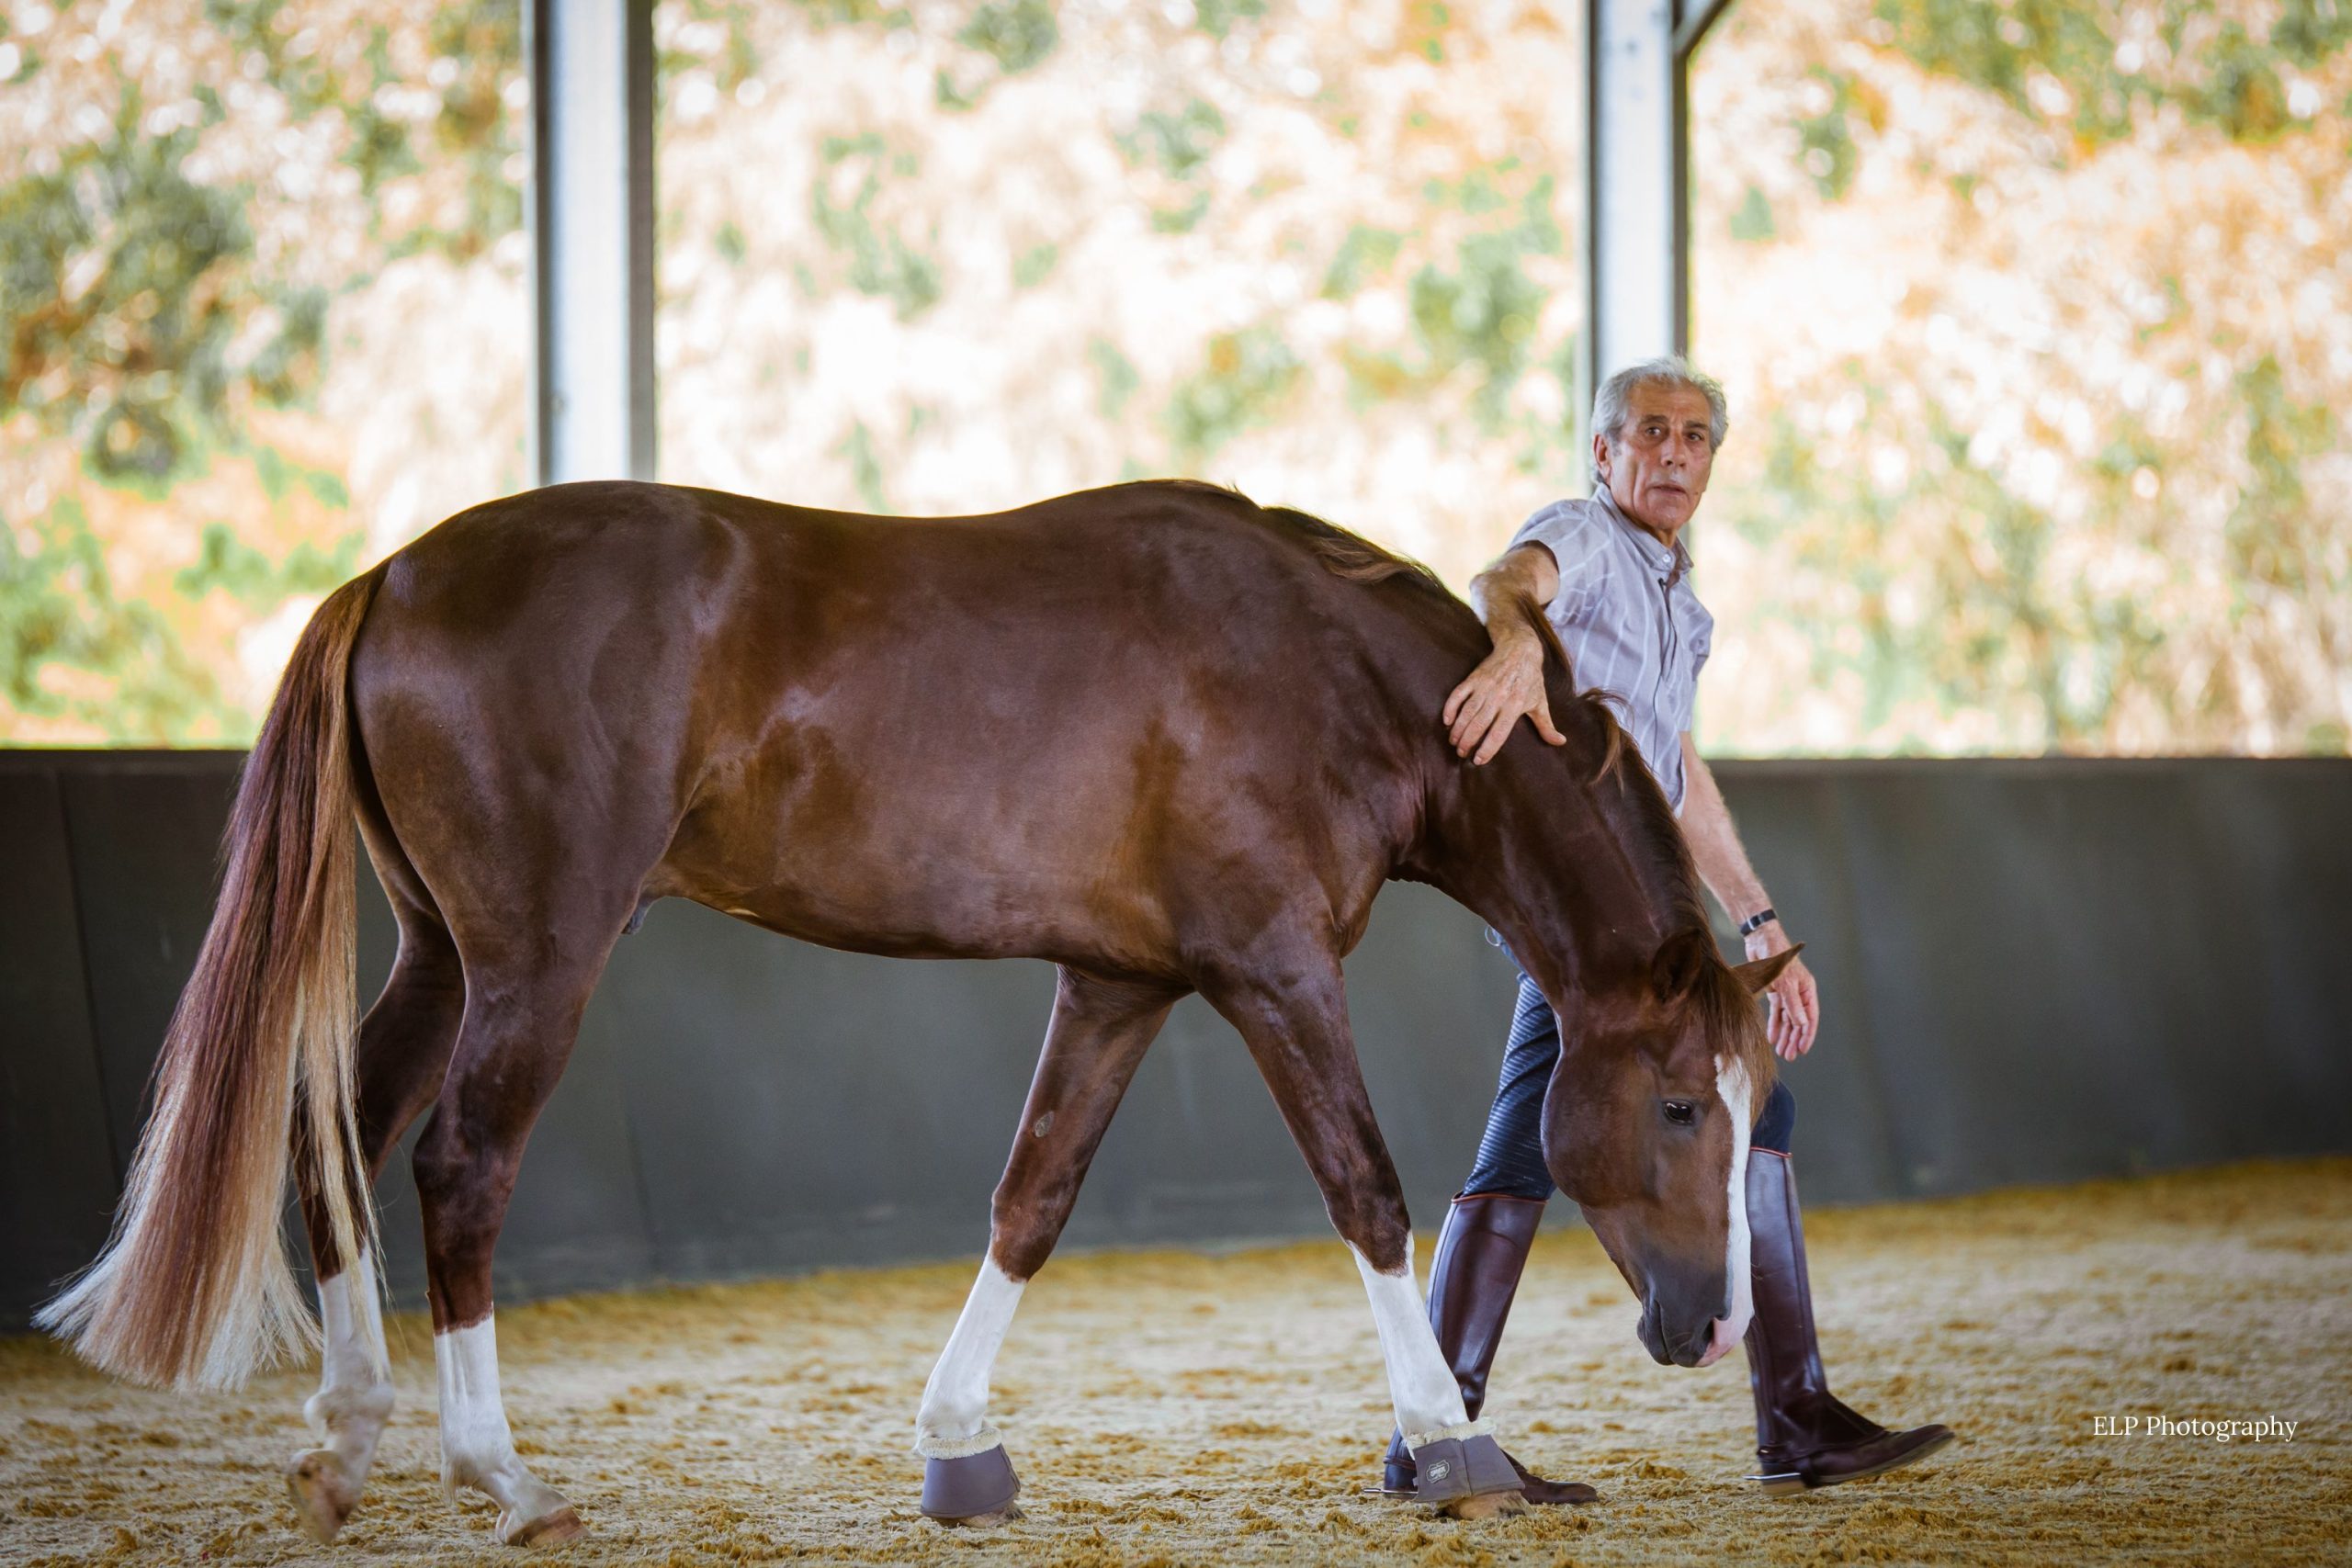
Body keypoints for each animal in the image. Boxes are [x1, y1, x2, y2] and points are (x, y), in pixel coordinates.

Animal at [39, 478, 1790, 1545]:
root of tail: (392, 574)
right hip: (532, 960)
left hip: (441, 954)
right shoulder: (1275, 972)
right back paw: (503, 1476)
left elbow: (1033, 1195)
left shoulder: (1124, 982)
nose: (1713, 1324)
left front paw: (959, 1442)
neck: (1330, 674)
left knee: (337, 1136)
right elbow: (1366, 1189)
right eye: (1680, 1102)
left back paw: (345, 1443)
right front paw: (1454, 1445)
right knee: (457, 1160)